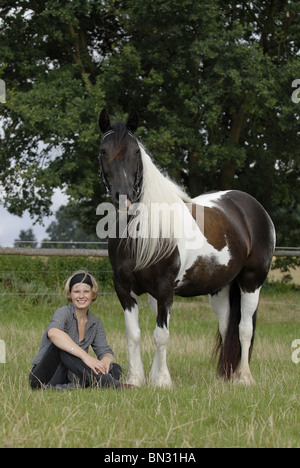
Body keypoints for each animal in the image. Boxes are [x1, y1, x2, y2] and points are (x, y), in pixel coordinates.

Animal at [98, 109, 276, 388]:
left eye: (136, 152)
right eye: (103, 151)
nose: (124, 197)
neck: (140, 230)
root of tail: (250, 205)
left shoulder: (164, 290)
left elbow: (161, 335)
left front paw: (162, 381)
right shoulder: (124, 289)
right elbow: (133, 334)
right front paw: (136, 379)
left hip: (251, 282)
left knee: (244, 329)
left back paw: (244, 377)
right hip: (221, 288)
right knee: (226, 327)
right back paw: (224, 377)